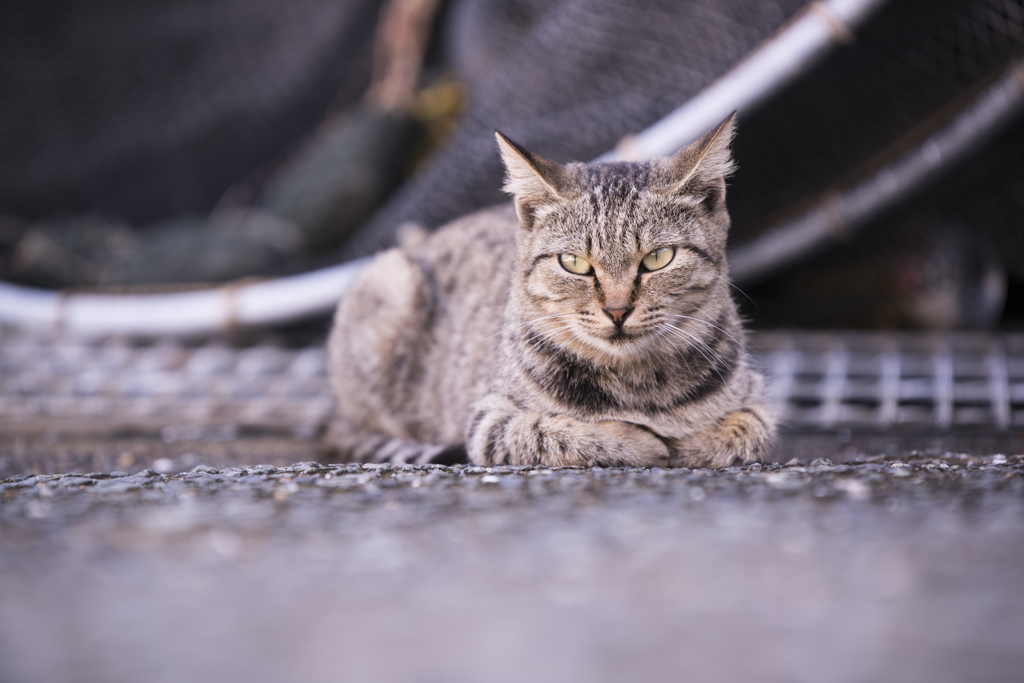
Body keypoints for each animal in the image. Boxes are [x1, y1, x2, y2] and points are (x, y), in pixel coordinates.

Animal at [329, 116, 774, 471]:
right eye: (574, 263)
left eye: (658, 258)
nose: (617, 310)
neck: (635, 383)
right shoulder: (489, 420)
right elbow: (554, 432)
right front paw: (641, 442)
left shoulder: (758, 403)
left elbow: (743, 431)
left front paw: (689, 441)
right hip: (390, 281)